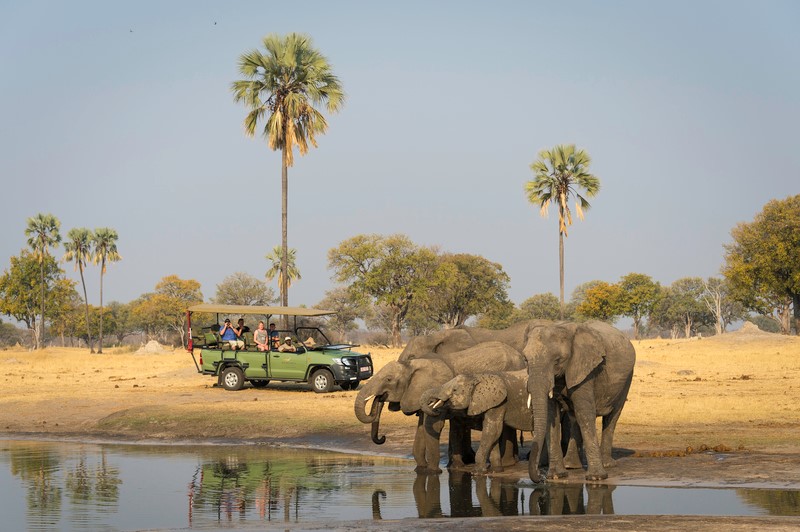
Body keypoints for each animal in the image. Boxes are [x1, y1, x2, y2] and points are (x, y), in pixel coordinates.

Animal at [354, 338, 528, 472]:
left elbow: (434, 426)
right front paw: (420, 469)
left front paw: (432, 472)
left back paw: (507, 464)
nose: (383, 437)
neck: (412, 365)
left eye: (388, 379)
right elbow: (422, 427)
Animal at [524, 320, 636, 482]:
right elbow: (552, 416)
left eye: (557, 360)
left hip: (627, 379)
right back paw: (571, 466)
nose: (540, 476)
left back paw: (607, 464)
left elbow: (585, 414)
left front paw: (596, 478)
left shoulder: (586, 370)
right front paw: (557, 476)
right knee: (574, 417)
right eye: (525, 360)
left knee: (612, 416)